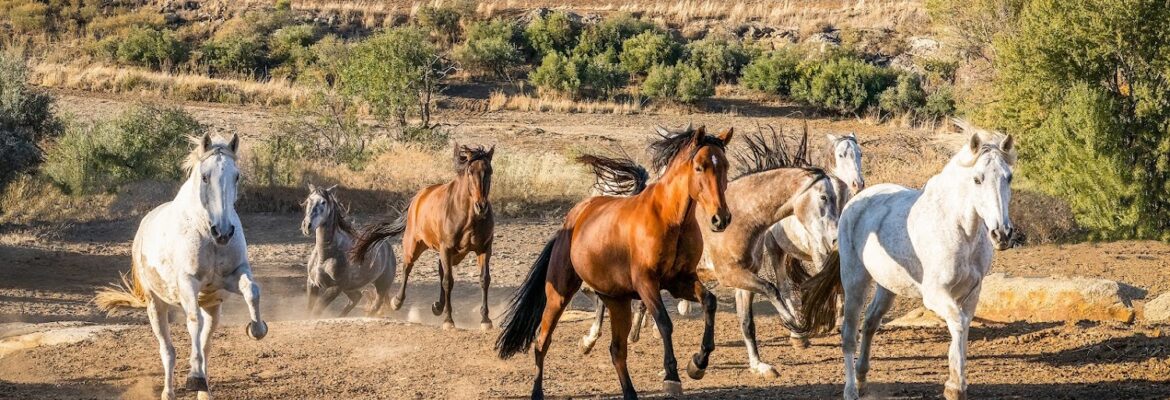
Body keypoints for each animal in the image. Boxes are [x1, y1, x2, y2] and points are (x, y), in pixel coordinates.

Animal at [94, 135, 267, 399]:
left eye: (236, 176)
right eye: (205, 176)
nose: (224, 232)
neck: (206, 232)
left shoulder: (233, 275)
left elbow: (253, 291)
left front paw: (257, 329)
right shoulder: (187, 283)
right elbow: (193, 320)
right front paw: (194, 376)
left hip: (213, 307)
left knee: (206, 343)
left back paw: (205, 391)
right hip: (156, 306)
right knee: (168, 350)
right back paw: (170, 391)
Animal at [301, 184, 397, 318]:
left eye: (323, 202)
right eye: (308, 200)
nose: (307, 226)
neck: (324, 257)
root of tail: (387, 247)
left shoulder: (335, 288)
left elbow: (316, 311)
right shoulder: (312, 283)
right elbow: (309, 310)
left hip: (381, 285)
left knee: (375, 305)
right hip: (350, 288)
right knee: (356, 297)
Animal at [346, 142, 493, 327]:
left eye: (489, 171)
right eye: (470, 171)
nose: (481, 207)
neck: (468, 216)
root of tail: (419, 197)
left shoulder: (484, 248)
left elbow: (484, 280)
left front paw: (485, 320)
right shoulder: (446, 248)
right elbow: (448, 281)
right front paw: (448, 320)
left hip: (450, 254)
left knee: (440, 271)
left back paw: (437, 306)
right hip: (414, 245)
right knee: (407, 267)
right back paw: (397, 302)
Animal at [493, 125, 730, 399]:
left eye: (725, 166)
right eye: (700, 167)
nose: (720, 219)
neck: (671, 220)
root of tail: (570, 222)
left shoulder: (681, 281)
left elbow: (710, 302)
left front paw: (698, 363)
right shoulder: (647, 283)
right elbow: (664, 322)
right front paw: (672, 376)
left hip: (617, 301)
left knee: (617, 350)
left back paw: (630, 392)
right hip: (559, 293)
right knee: (542, 341)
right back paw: (537, 392)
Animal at [804, 119, 1015, 399]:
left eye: (1009, 177)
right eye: (977, 179)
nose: (1001, 234)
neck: (960, 229)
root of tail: (855, 202)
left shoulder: (972, 293)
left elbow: (963, 326)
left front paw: (955, 382)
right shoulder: (935, 294)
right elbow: (958, 323)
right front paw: (955, 385)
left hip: (887, 286)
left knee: (870, 322)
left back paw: (862, 378)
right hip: (855, 282)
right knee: (849, 334)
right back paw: (850, 389)